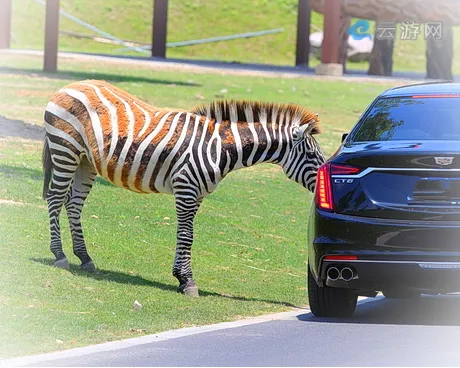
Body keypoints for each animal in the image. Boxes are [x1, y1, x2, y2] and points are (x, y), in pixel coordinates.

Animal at [41, 80, 326, 296]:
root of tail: (71, 85)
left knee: (73, 204)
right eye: (313, 155)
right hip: (65, 149)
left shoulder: (195, 194)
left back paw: (84, 257)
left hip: (86, 161)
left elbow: (185, 233)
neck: (219, 147)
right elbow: (188, 235)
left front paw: (180, 277)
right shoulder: (186, 187)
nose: (324, 182)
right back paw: (60, 255)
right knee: (55, 198)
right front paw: (188, 281)